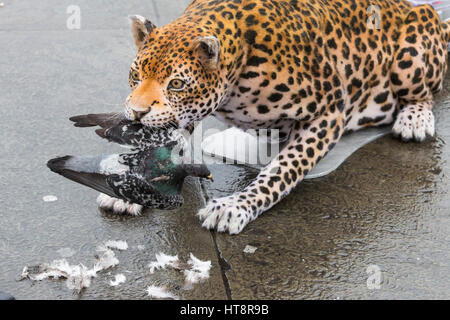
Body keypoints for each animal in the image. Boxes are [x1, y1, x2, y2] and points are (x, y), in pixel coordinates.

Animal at [98, 0, 450, 235]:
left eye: (176, 84)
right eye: (136, 75)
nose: (138, 112)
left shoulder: (328, 111)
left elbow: (282, 170)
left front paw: (235, 208)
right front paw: (131, 189)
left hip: (411, 55)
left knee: (424, 93)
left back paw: (414, 120)